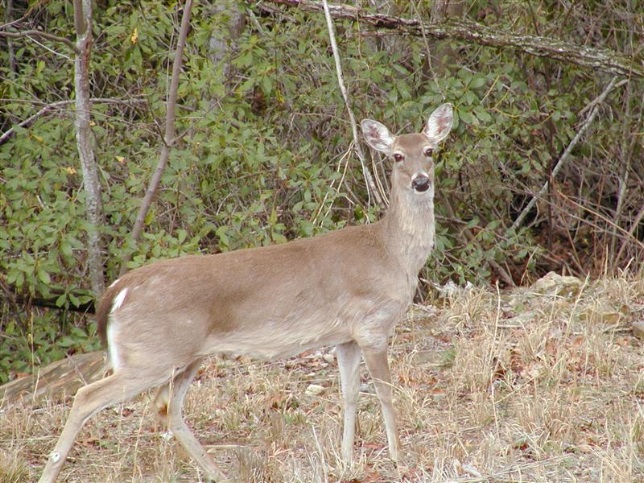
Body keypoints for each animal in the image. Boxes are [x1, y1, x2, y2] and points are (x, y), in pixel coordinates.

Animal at [39, 103, 452, 483]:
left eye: (430, 150)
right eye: (397, 155)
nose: (420, 182)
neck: (391, 252)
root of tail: (117, 291)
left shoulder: (346, 336)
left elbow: (349, 395)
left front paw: (347, 459)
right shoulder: (372, 324)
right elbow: (384, 391)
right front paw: (397, 458)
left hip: (184, 356)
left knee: (166, 406)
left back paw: (218, 473)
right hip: (150, 356)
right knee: (86, 397)